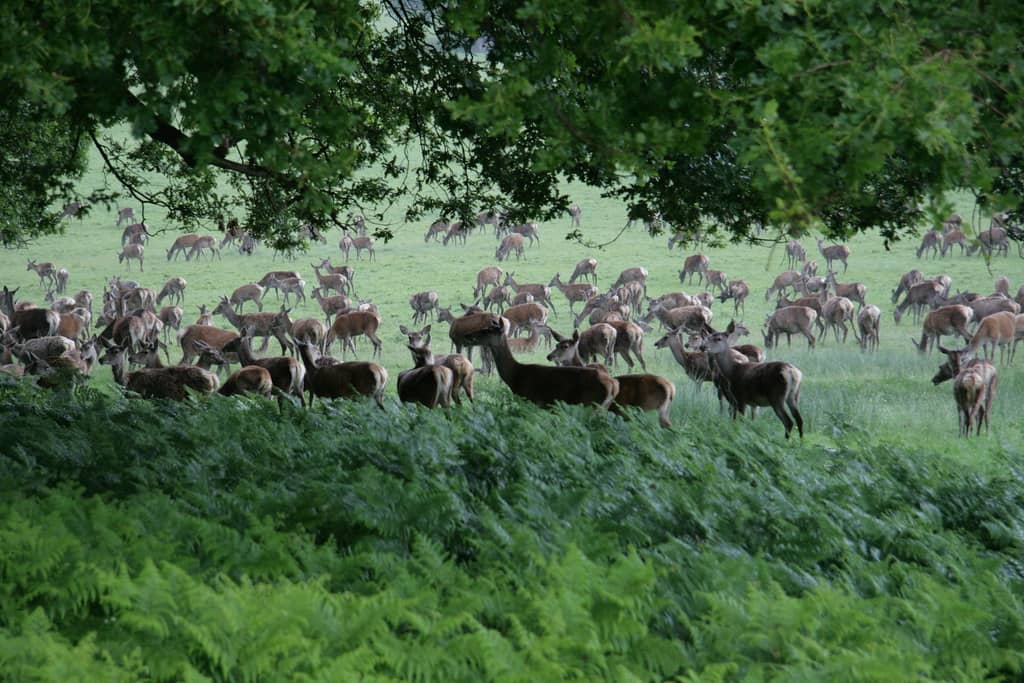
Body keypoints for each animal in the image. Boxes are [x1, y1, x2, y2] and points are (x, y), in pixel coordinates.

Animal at [546, 329, 676, 428]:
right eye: (556, 345)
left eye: (565, 346)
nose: (549, 356)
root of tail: (670, 388)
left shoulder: (590, 405)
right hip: (664, 410)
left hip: (648, 408)